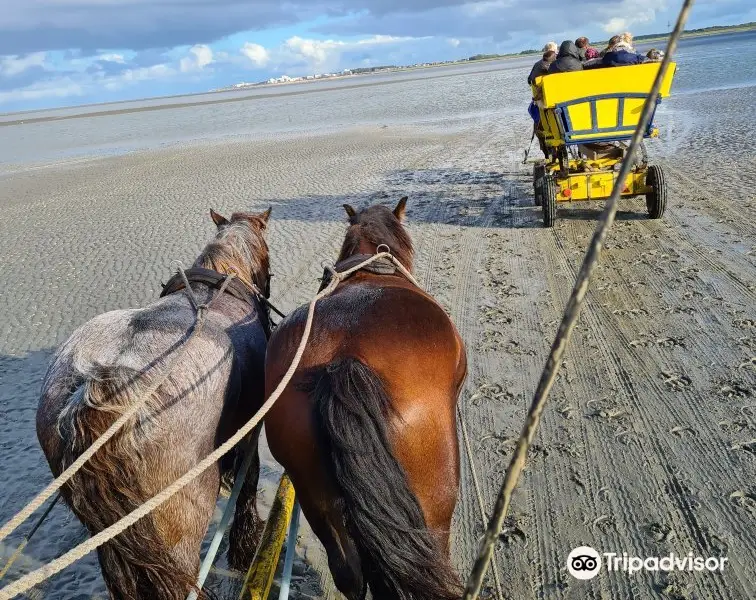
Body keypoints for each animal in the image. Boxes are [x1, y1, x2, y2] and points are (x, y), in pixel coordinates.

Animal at [36, 209, 272, 596]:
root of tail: (95, 391)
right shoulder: (250, 433)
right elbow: (247, 489)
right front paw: (245, 549)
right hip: (180, 529)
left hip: (113, 539)